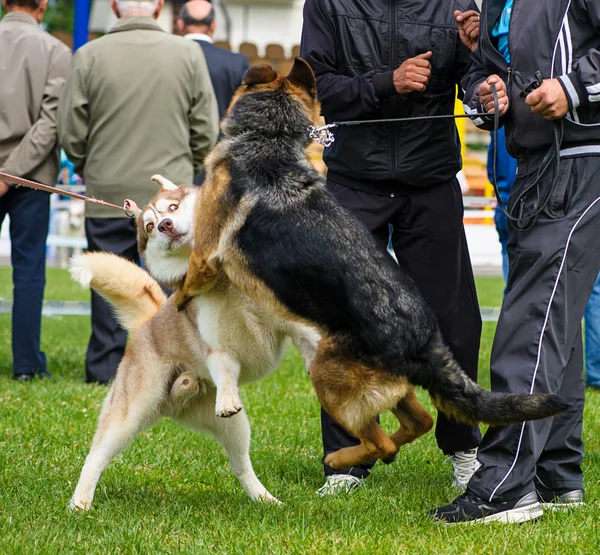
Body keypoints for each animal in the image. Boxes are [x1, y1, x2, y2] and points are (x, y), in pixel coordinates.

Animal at [68, 179, 322, 512]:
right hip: (131, 412)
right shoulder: (217, 346)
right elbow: (224, 367)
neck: (223, 280)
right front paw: (227, 396)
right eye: (149, 226)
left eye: (172, 208)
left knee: (240, 465)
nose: (164, 225)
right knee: (96, 455)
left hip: (234, 426)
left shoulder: (287, 317)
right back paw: (80, 502)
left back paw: (265, 498)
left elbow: (306, 334)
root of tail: (147, 322)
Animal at [173, 57, 568, 474]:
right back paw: (375, 454)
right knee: (419, 422)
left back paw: (341, 456)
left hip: (326, 373)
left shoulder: (205, 255)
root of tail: (424, 339)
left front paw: (177, 301)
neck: (269, 138)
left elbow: (187, 280)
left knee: (381, 440)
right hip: (381, 385)